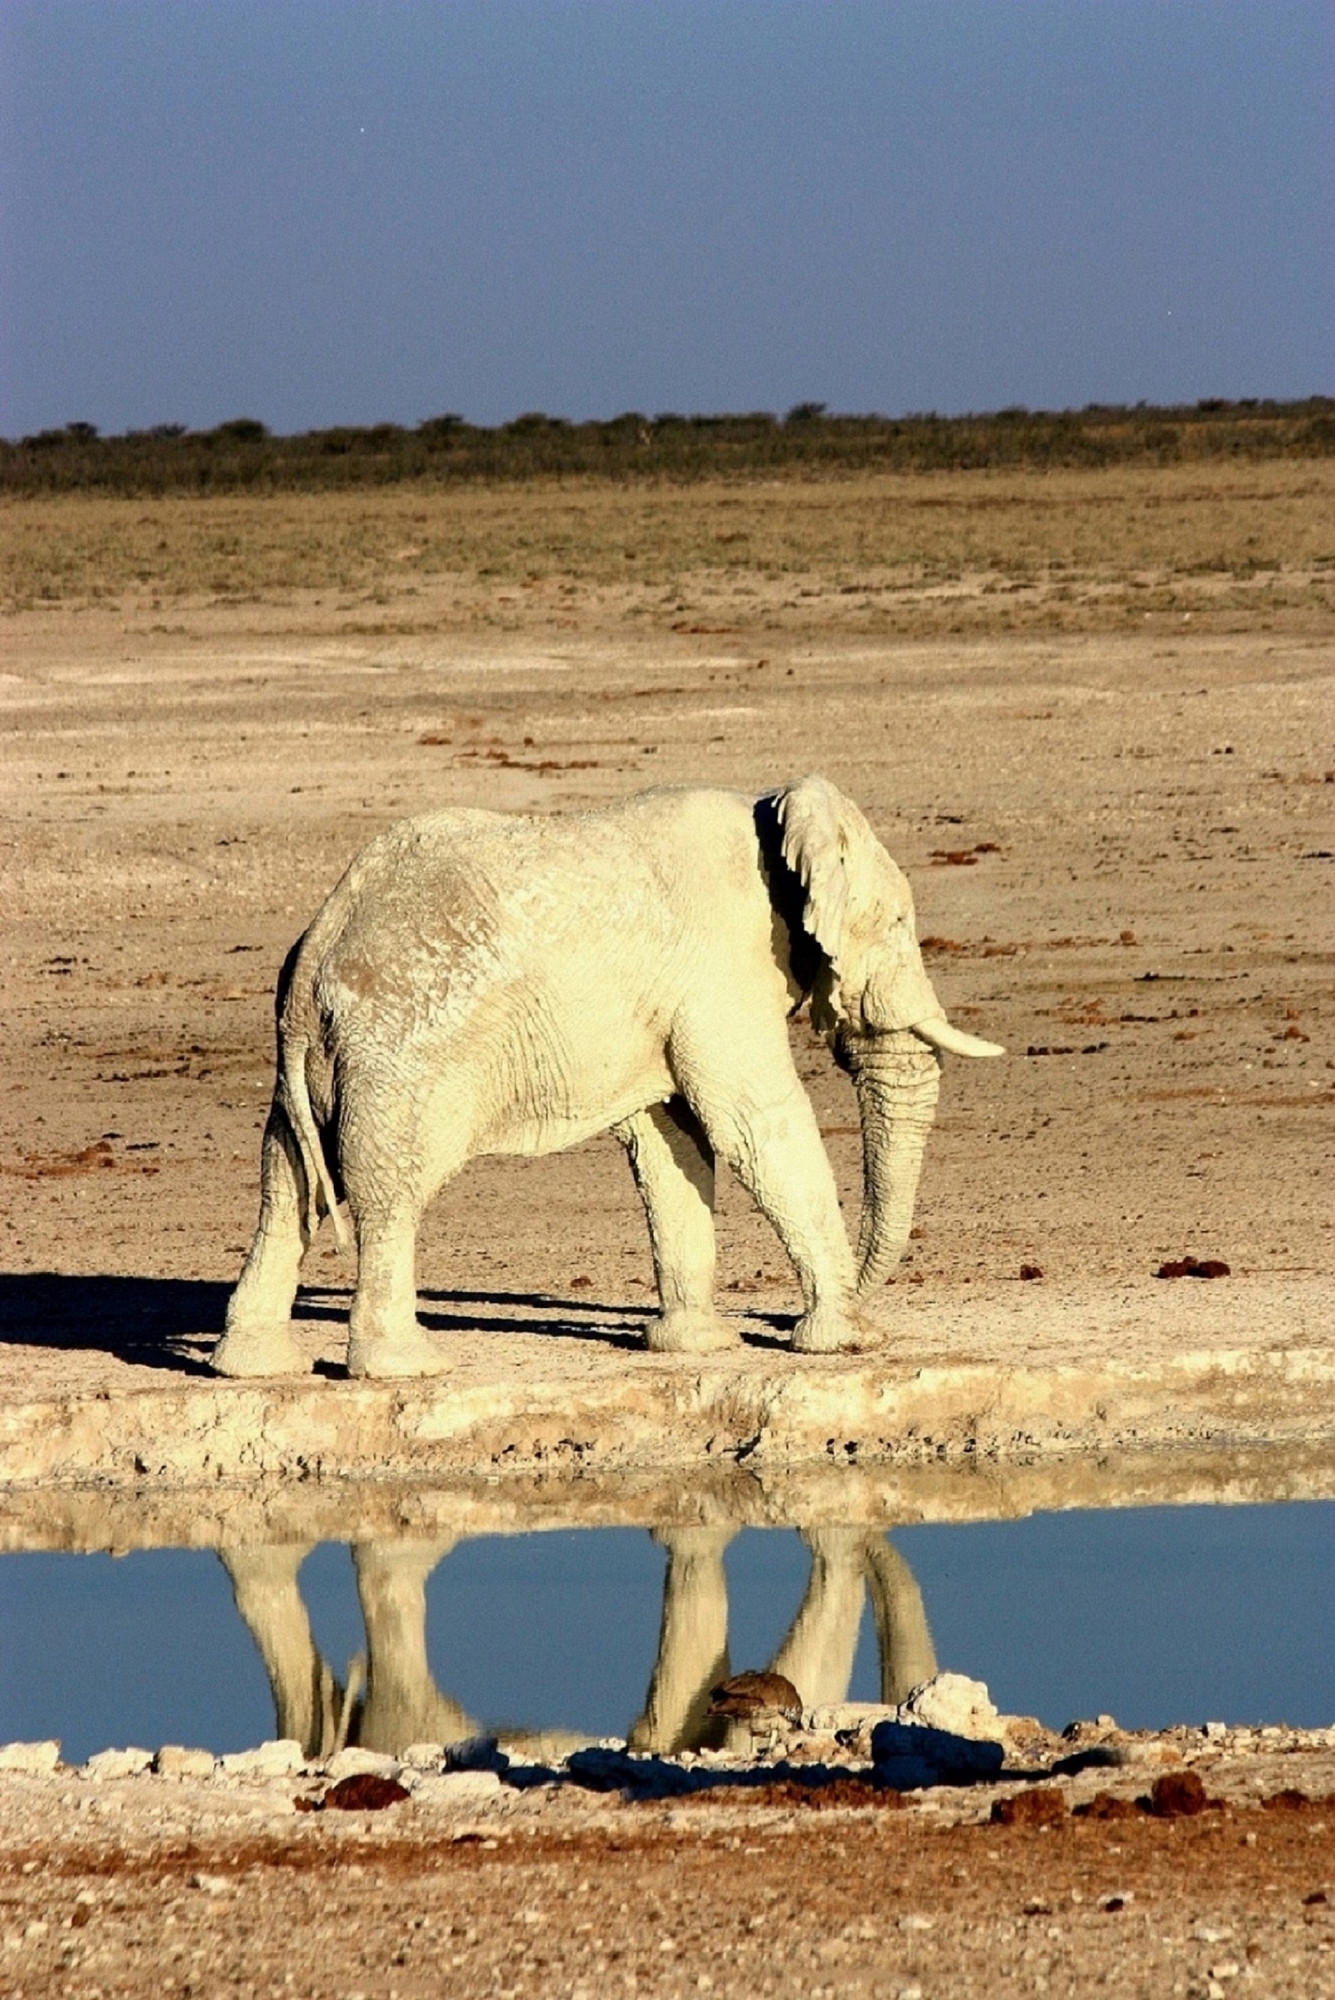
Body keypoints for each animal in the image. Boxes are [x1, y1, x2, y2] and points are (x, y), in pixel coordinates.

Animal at [213, 772, 995, 1384]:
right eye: (898, 924)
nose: (769, 1314)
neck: (774, 819)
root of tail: (318, 944)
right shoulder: (722, 969)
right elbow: (754, 1123)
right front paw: (852, 1341)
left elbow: (670, 1142)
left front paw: (697, 1347)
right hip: (404, 1051)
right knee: (388, 1193)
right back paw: (407, 1367)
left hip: (326, 1060)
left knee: (286, 1184)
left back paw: (253, 1366)